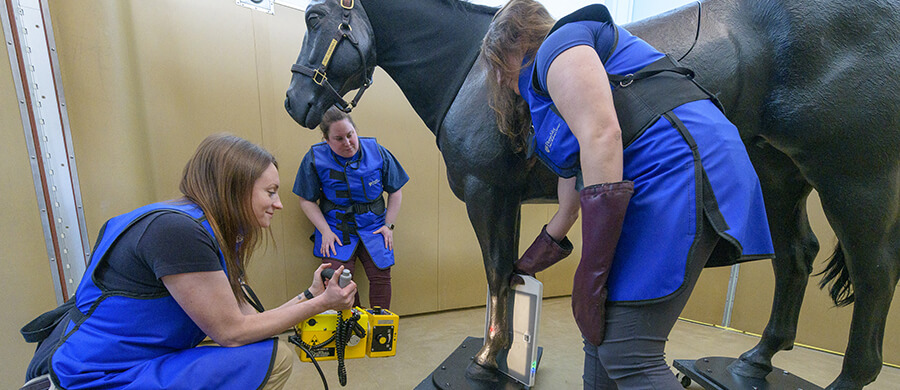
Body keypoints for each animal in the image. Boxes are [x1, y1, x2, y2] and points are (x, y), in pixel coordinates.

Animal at [284, 1, 900, 388]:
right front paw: (503, 354)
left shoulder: (488, 194)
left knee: (875, 276)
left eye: (315, 17)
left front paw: (487, 360)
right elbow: (508, 273)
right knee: (795, 257)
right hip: (781, 176)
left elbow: (496, 273)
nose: (295, 102)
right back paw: (755, 361)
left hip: (854, 180)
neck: (472, 71)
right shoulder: (508, 200)